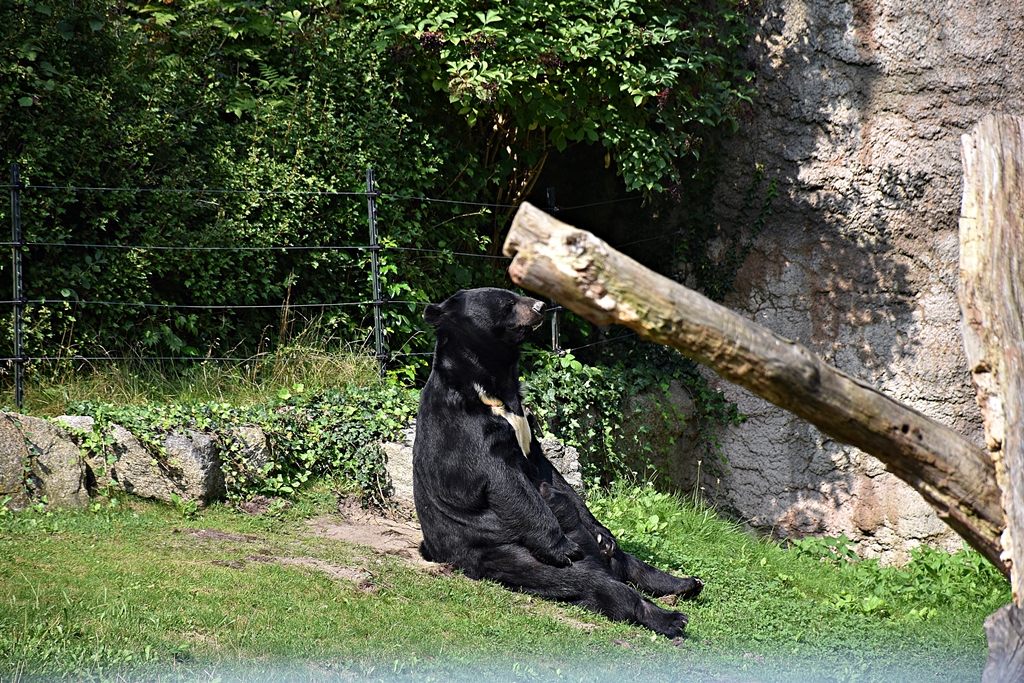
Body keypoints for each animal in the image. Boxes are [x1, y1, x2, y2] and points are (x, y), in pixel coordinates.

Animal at [412, 287, 703, 638]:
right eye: (508, 303)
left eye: (516, 294)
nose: (540, 306)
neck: (493, 384)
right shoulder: (469, 428)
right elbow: (505, 481)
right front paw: (563, 546)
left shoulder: (526, 427)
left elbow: (552, 474)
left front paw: (601, 531)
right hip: (501, 549)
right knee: (596, 583)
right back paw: (670, 617)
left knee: (629, 563)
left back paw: (686, 582)